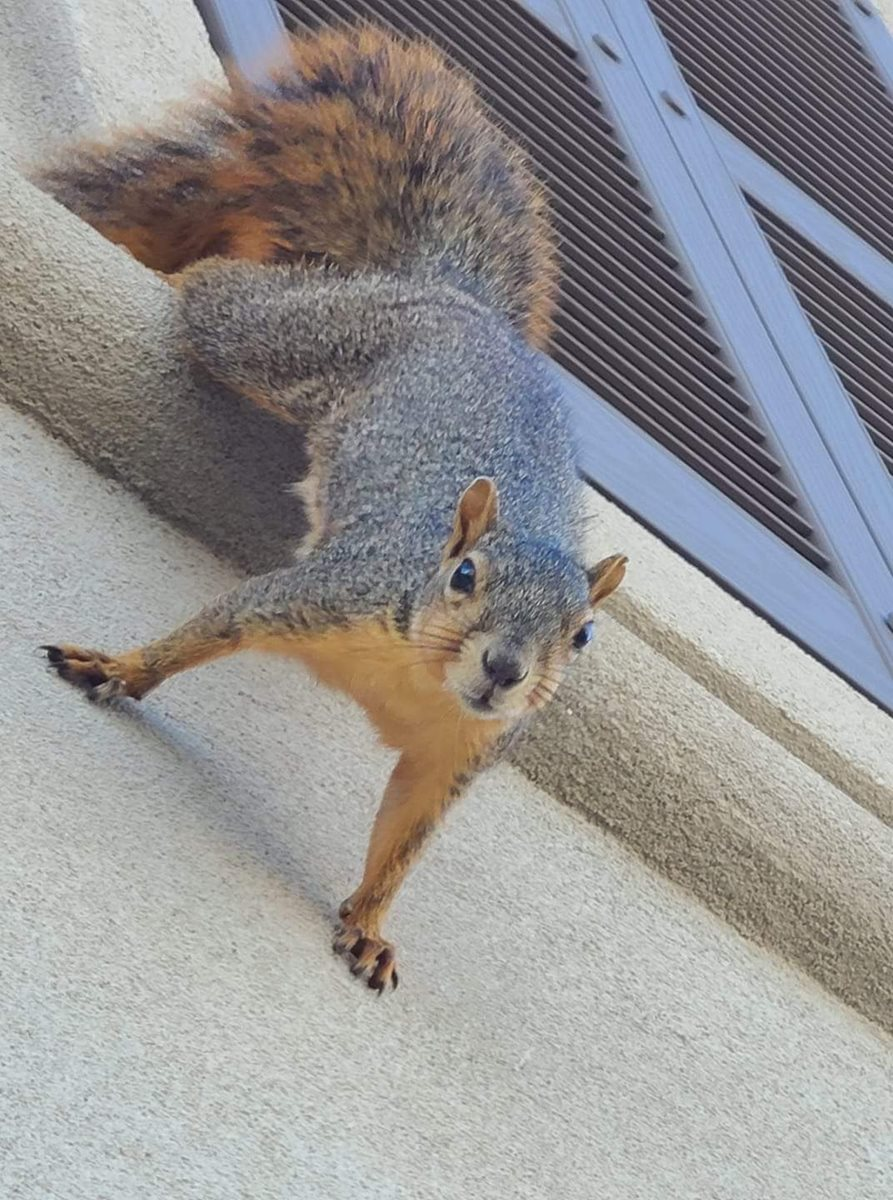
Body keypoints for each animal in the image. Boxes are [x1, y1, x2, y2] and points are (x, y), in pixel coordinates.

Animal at [36, 24, 627, 994]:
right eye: (463, 574)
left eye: (581, 636)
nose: (505, 669)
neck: (416, 674)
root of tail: (450, 298)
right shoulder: (323, 593)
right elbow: (212, 628)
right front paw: (119, 667)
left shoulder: (458, 753)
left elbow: (404, 839)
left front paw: (369, 925)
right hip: (285, 337)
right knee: (222, 291)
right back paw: (195, 273)